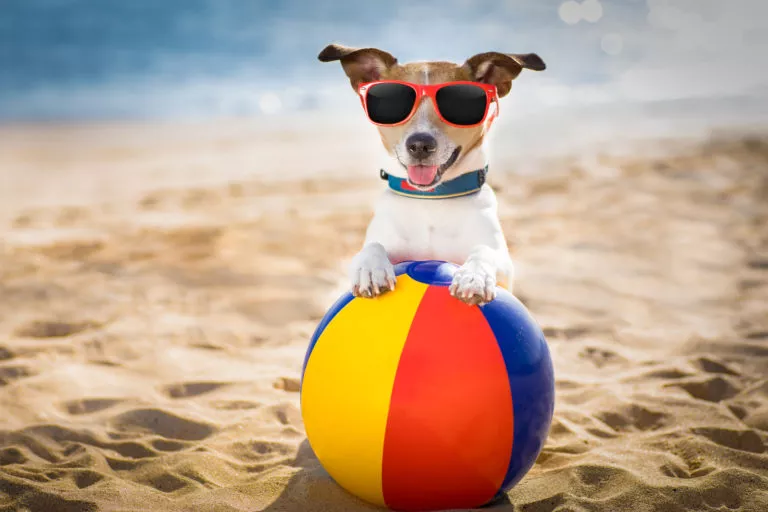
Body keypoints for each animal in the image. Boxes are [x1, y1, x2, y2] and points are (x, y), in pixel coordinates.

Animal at [320, 43, 544, 304]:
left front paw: (474, 276)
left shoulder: (504, 267)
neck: (431, 200)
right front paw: (370, 268)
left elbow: (484, 251)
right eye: (392, 104)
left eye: (460, 104)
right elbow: (372, 247)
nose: (420, 145)